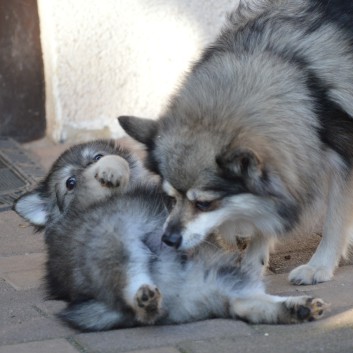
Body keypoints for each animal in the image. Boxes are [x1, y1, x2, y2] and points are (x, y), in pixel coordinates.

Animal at [13, 140, 328, 330]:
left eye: (96, 155)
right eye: (69, 183)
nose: (94, 169)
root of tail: (180, 292)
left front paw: (110, 168)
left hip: (227, 279)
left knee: (246, 305)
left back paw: (297, 307)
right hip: (115, 247)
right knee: (133, 296)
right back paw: (144, 299)